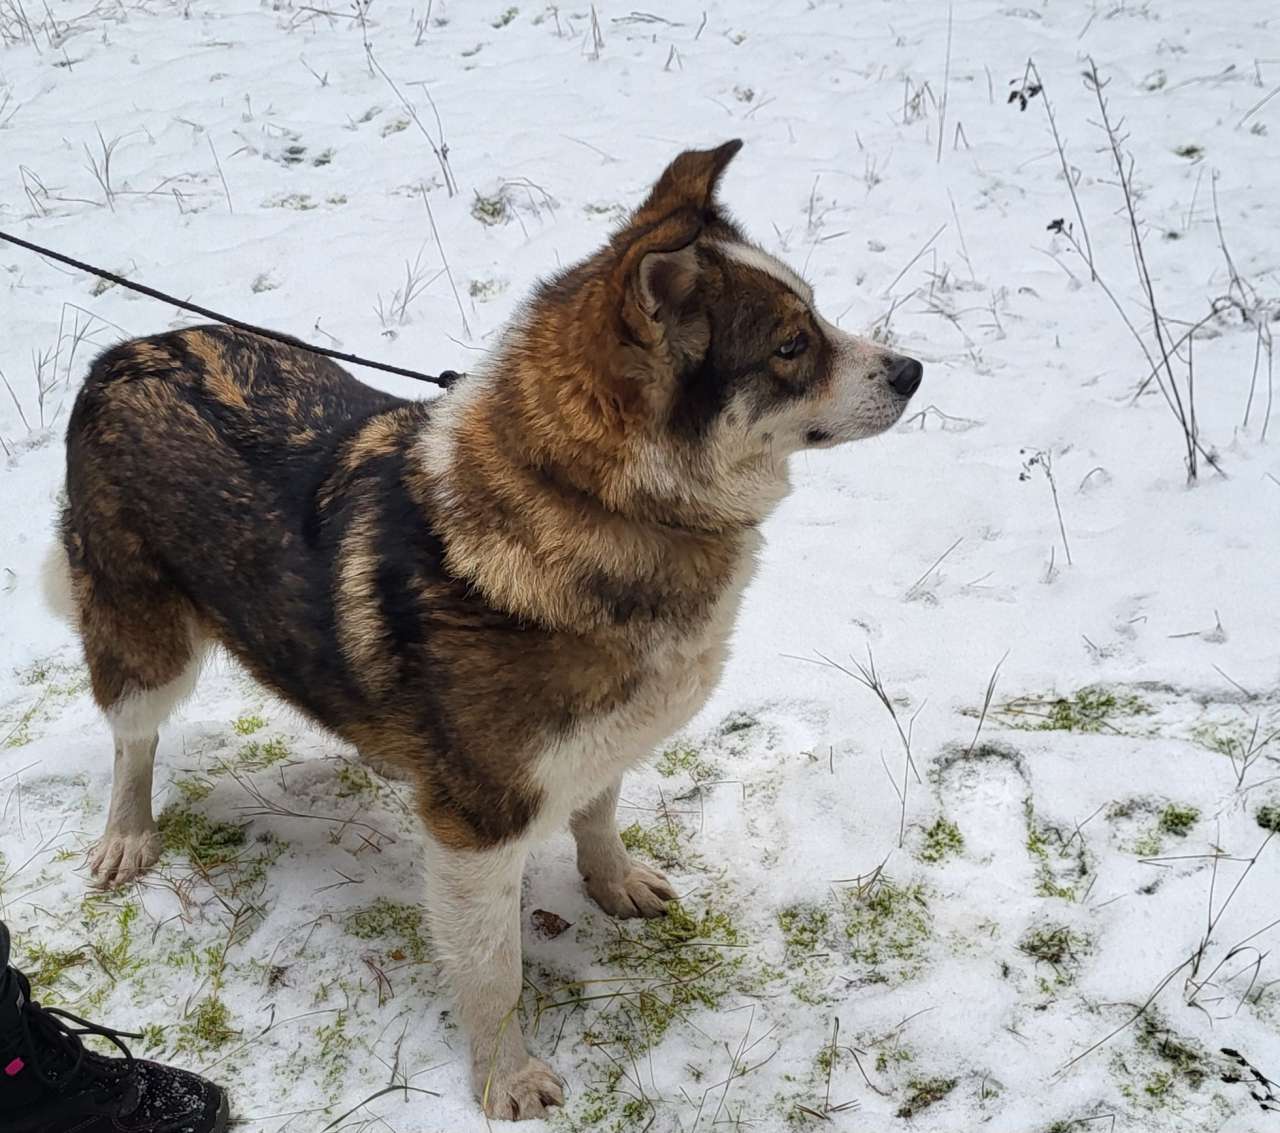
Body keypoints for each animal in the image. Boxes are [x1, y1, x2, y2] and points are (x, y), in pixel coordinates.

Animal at [45, 139, 921, 1119]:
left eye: (815, 318)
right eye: (791, 346)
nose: (914, 371)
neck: (594, 503)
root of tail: (124, 353)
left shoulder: (600, 739)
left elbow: (598, 812)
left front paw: (612, 880)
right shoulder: (477, 825)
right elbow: (494, 967)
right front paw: (505, 1077)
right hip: (142, 636)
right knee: (133, 737)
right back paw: (129, 831)